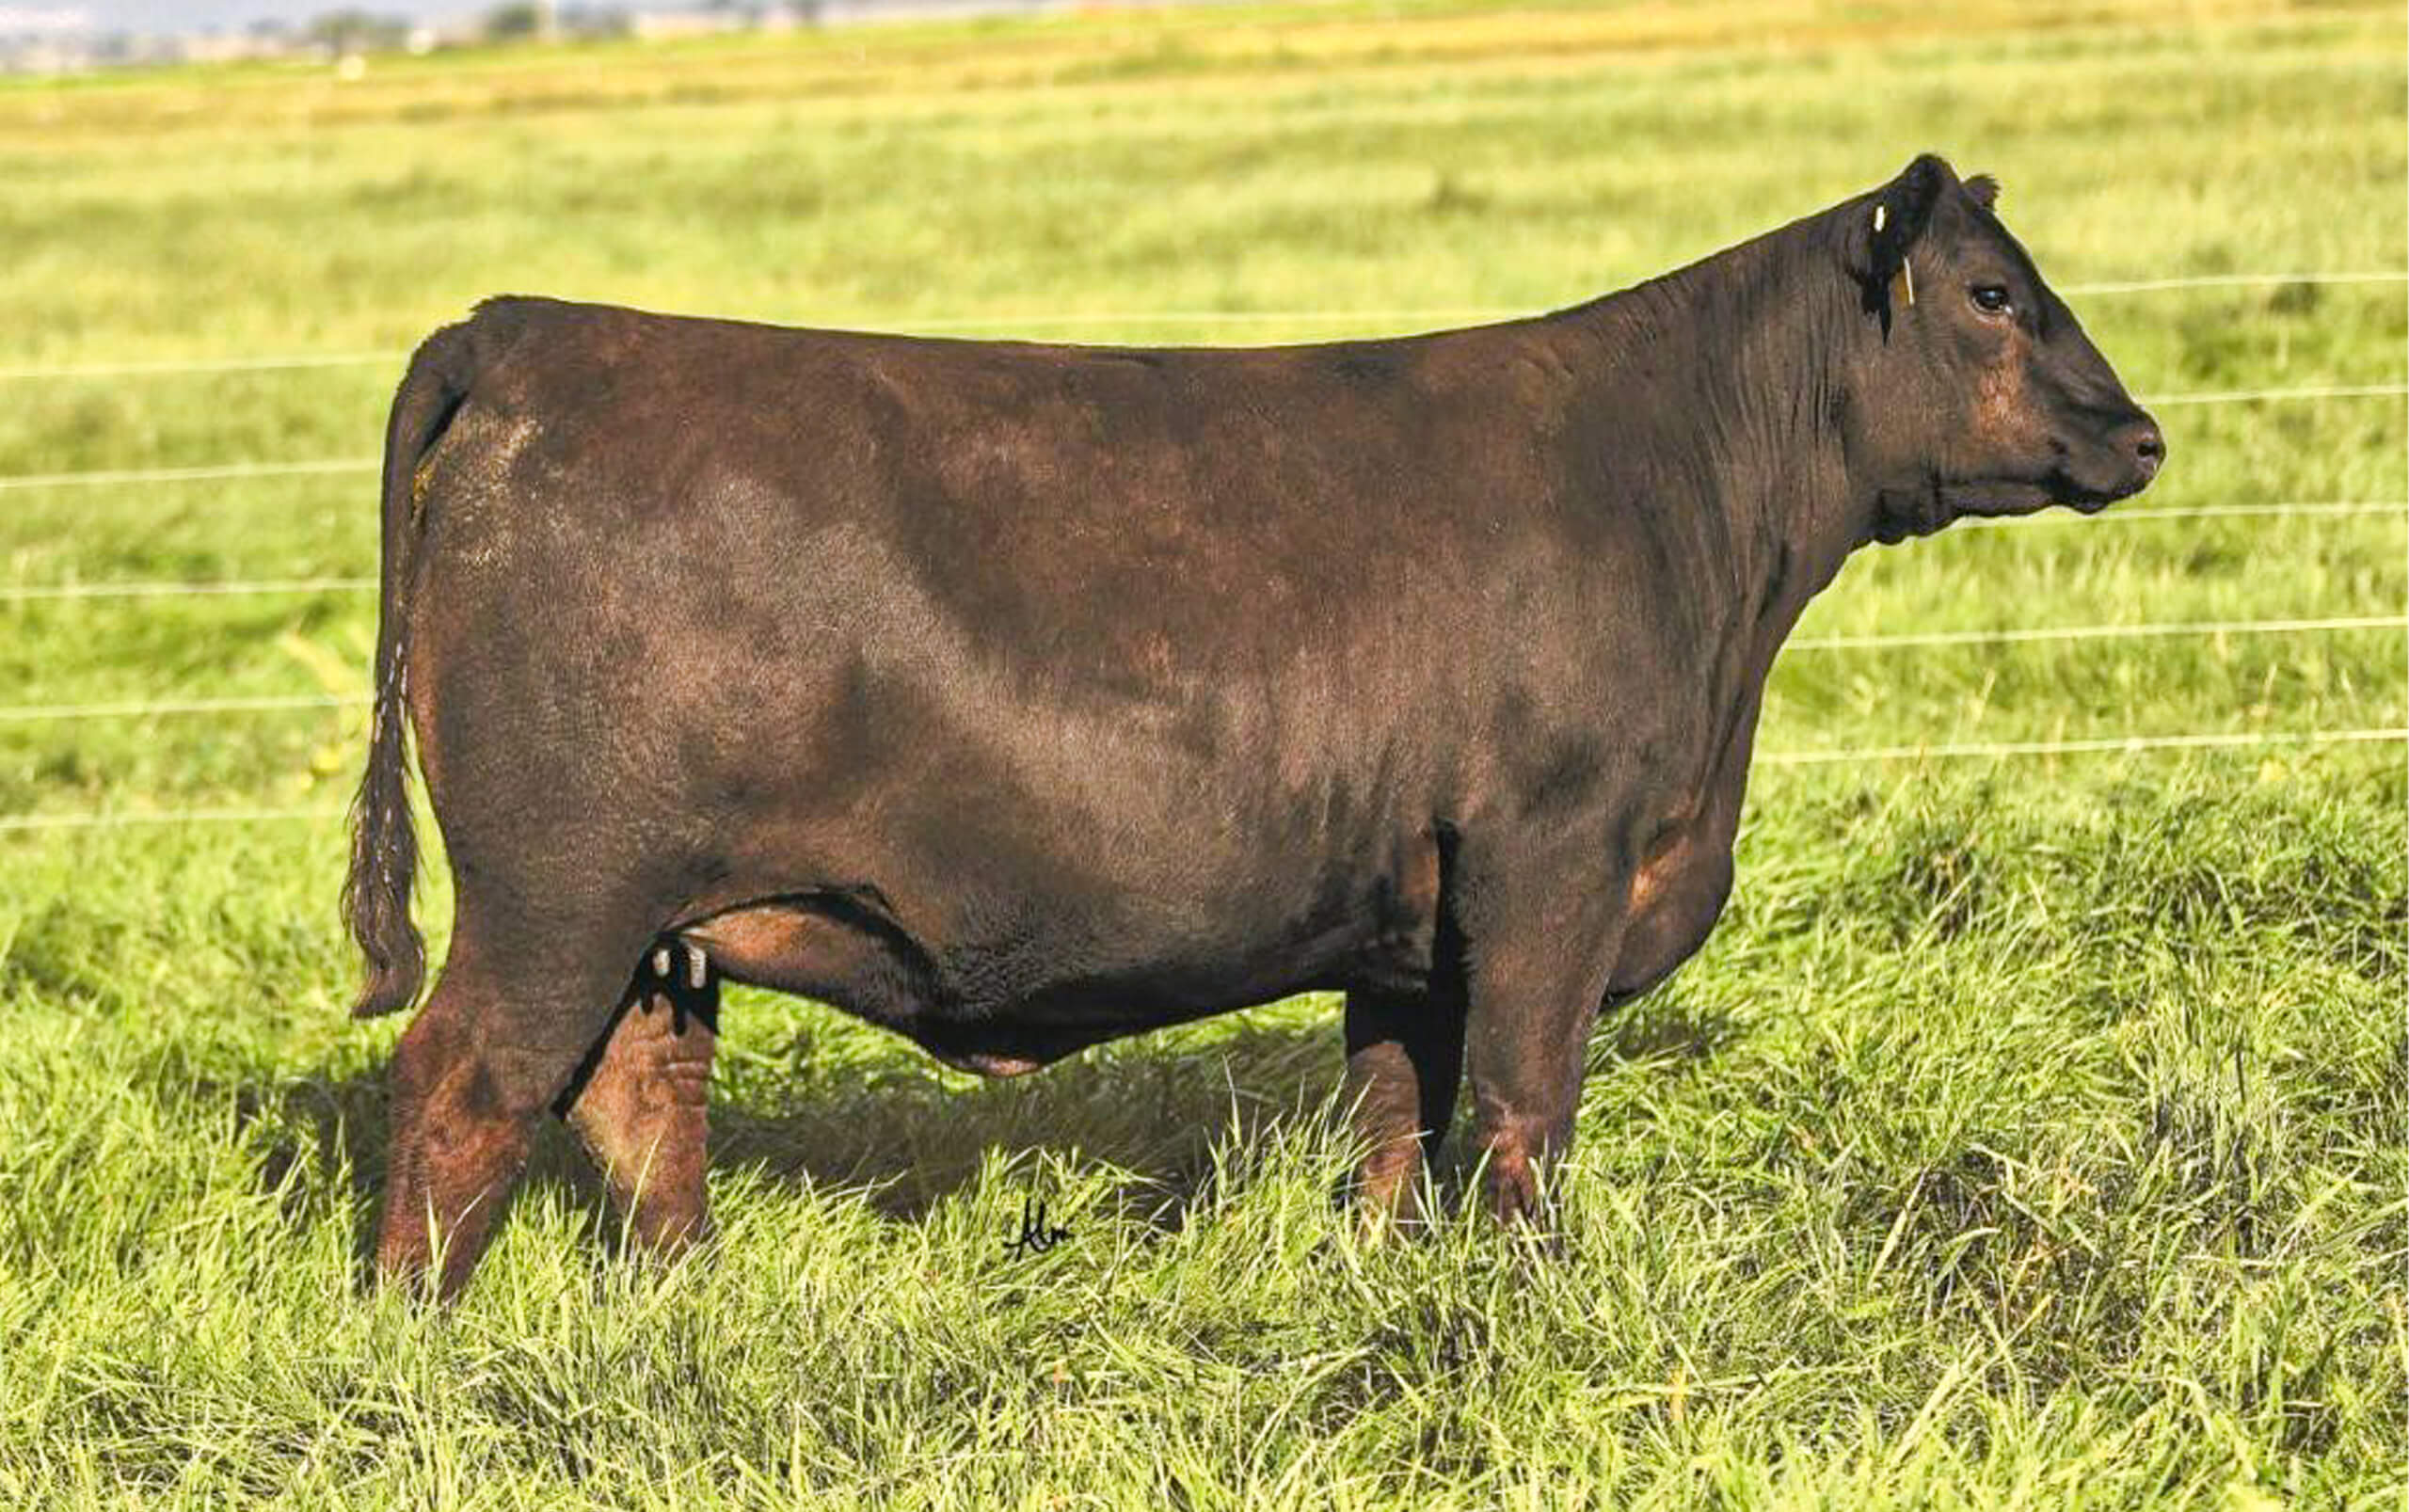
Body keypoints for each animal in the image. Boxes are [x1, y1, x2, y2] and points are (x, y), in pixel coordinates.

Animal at [344, 154, 2162, 1298]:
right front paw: (1533, 1303)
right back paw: (414, 1336)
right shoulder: (1551, 863)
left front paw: (1388, 1282)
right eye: (1993, 295)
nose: (2141, 435)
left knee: (637, 1098)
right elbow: (1523, 1113)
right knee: (465, 1082)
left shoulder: (1406, 919)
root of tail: (532, 326)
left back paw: (692, 1299)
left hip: (659, 918)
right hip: (560, 890)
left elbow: (1392, 1123)